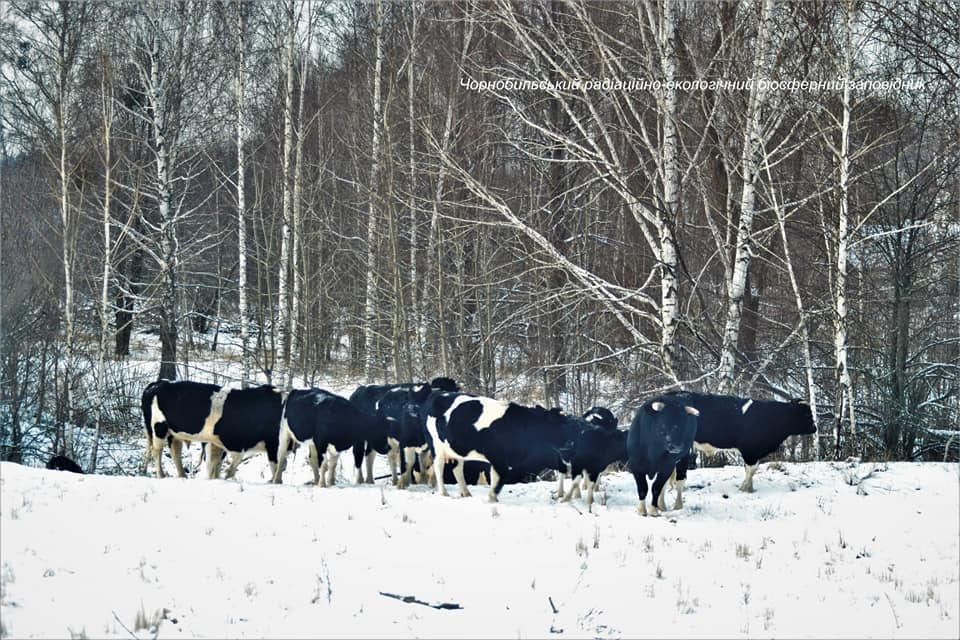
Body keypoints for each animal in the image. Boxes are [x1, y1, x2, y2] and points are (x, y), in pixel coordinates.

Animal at [141, 380, 285, 480]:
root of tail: (160, 383)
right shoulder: (238, 443)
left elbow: (217, 464)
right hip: (159, 427)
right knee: (157, 451)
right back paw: (161, 476)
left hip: (173, 433)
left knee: (175, 452)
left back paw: (182, 476)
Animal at [422, 391, 581, 502]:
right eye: (561, 424)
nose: (573, 441)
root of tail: (436, 394)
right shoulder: (498, 458)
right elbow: (500, 478)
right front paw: (492, 498)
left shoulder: (499, 460)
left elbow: (495, 477)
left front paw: (493, 497)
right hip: (436, 446)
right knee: (439, 467)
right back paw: (444, 493)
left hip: (456, 449)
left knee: (457, 469)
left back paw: (466, 493)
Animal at [668, 391, 816, 493]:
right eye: (806, 414)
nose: (815, 428)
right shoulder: (750, 450)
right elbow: (751, 469)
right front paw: (745, 488)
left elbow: (752, 469)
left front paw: (749, 488)